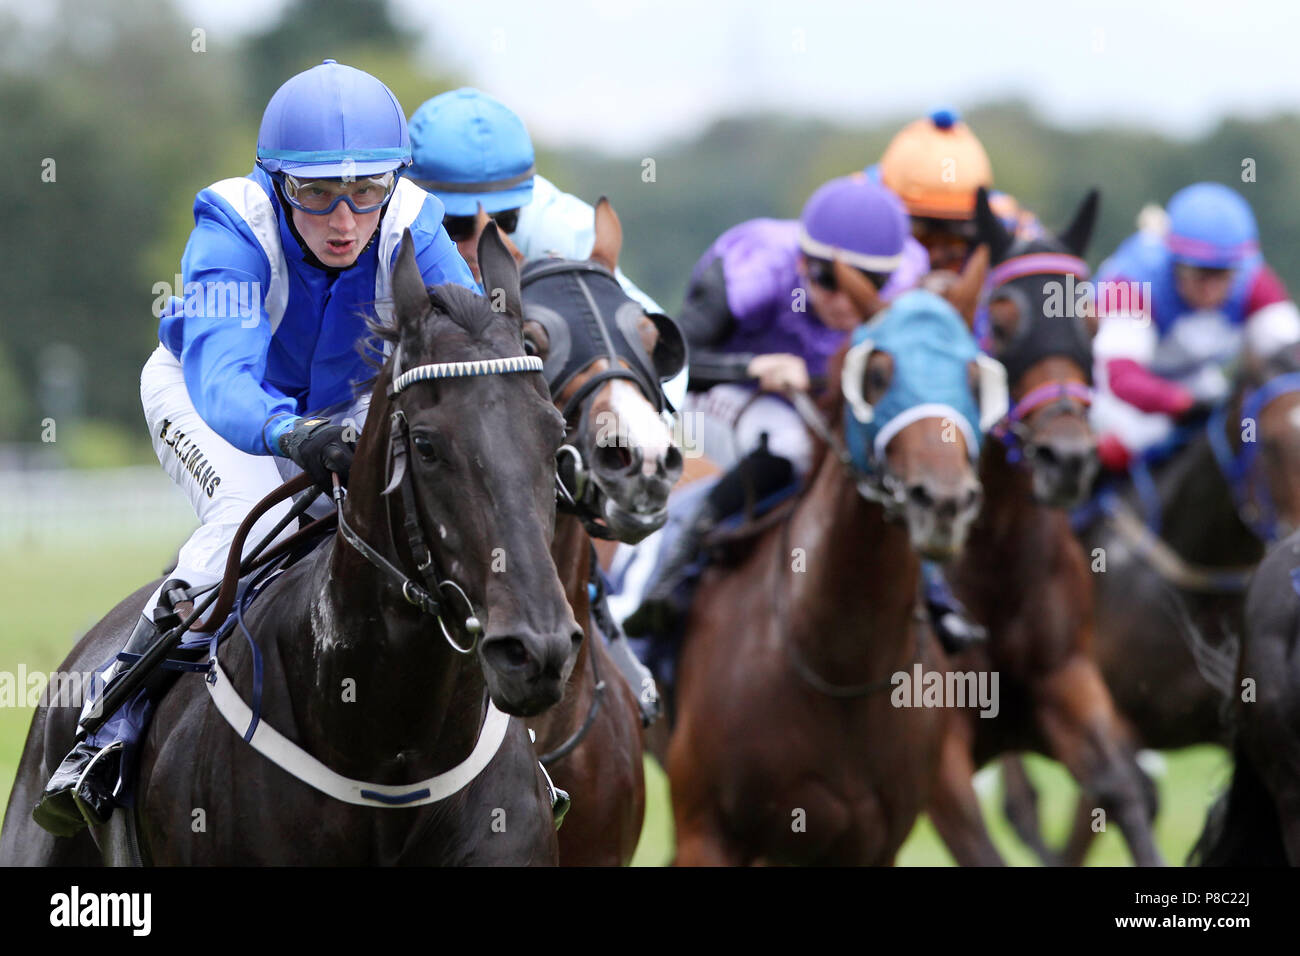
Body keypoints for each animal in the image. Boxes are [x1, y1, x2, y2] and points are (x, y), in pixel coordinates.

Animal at [665, 282, 987, 868]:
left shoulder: (873, 845)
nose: (944, 502)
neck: (840, 667)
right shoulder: (708, 832)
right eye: (877, 376)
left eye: (975, 378)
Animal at [930, 187, 1164, 868]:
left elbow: (1122, 788)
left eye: (1092, 322)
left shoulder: (1068, 680)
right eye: (1003, 322)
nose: (1068, 458)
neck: (993, 559)